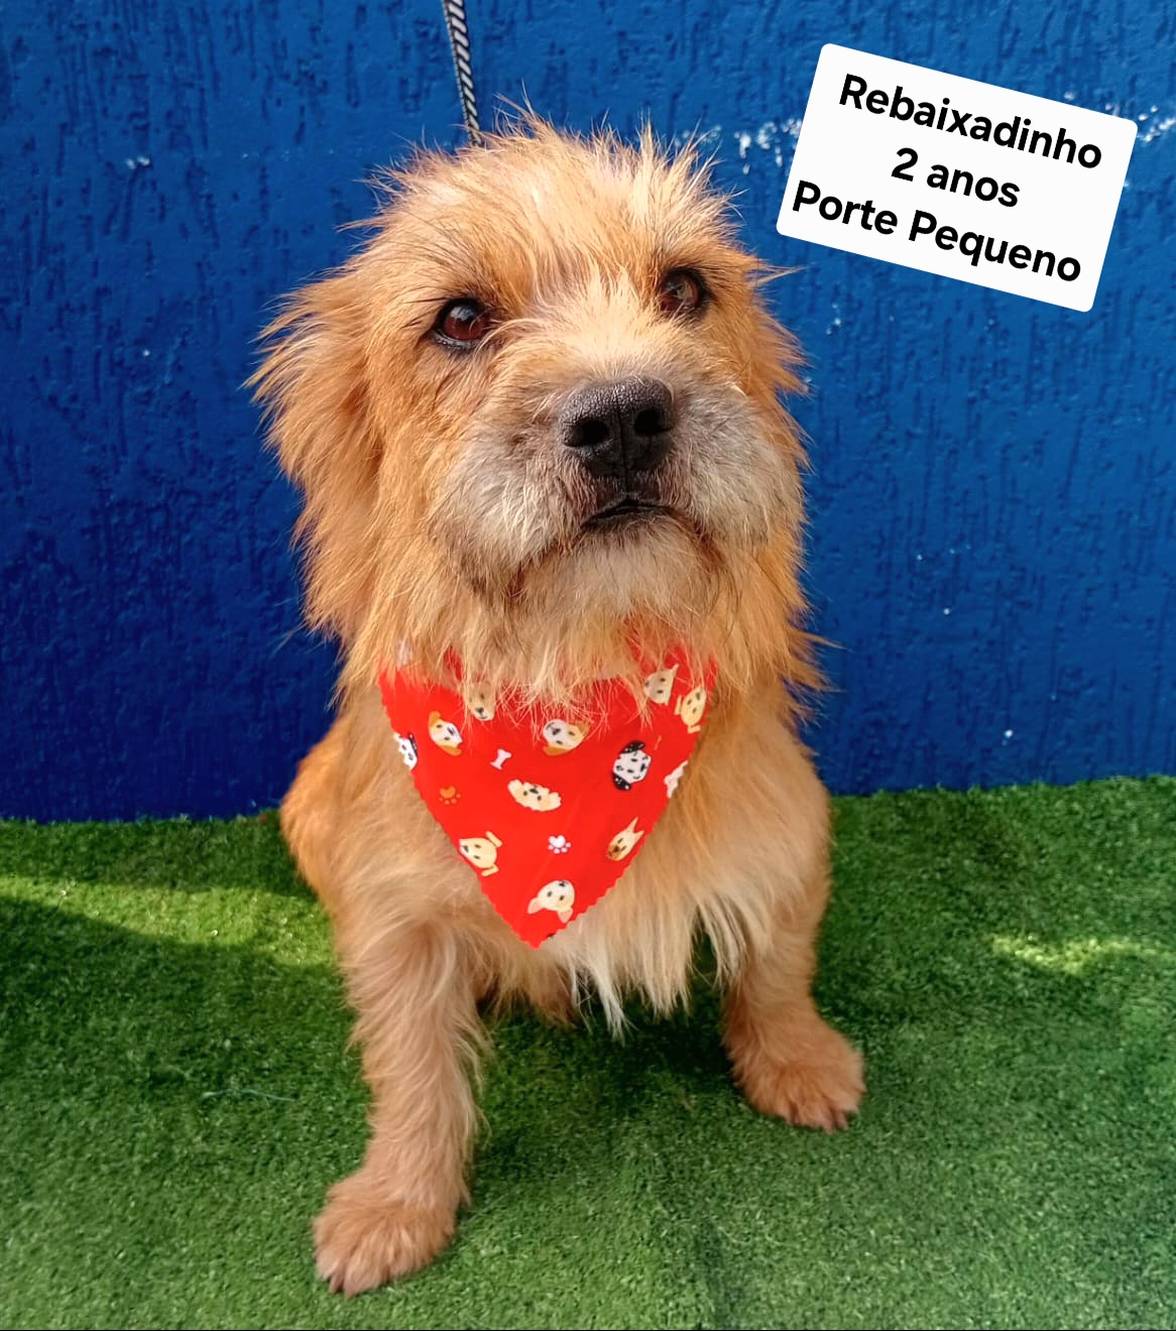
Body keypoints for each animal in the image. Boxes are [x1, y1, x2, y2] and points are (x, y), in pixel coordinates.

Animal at [254, 116, 863, 1296]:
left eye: (684, 287)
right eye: (459, 318)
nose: (626, 413)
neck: (579, 688)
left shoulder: (785, 824)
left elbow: (775, 966)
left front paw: (796, 1059)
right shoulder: (393, 914)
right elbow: (411, 1067)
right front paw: (400, 1200)